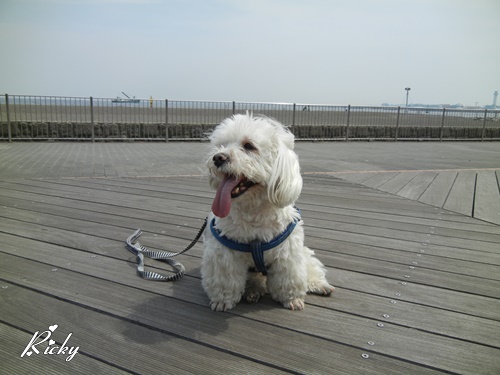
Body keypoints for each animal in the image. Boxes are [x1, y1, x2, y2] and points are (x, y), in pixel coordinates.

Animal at [201, 114, 334, 312]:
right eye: (221, 145)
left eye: (249, 146)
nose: (218, 158)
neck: (253, 211)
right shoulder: (224, 252)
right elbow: (225, 280)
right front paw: (222, 301)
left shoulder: (288, 252)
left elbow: (289, 278)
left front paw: (292, 299)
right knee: (256, 280)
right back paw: (253, 292)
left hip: (304, 254)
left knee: (311, 266)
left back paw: (320, 285)